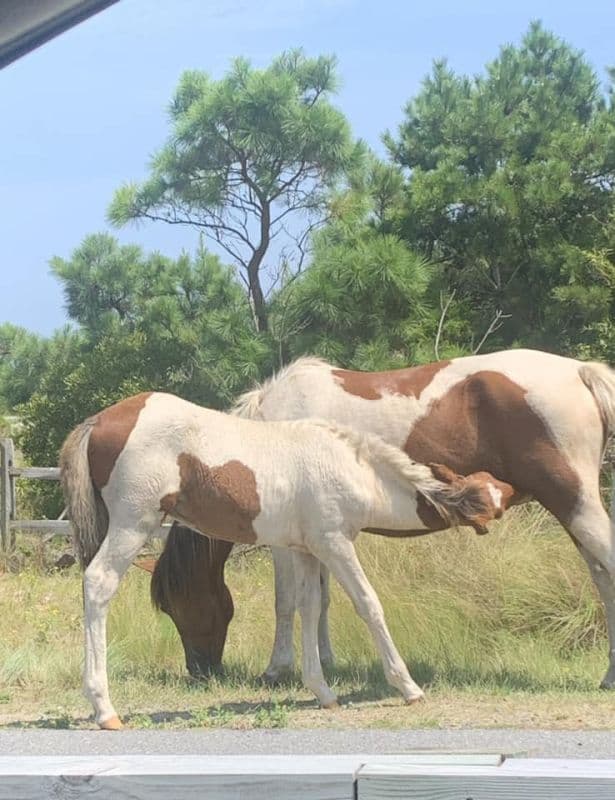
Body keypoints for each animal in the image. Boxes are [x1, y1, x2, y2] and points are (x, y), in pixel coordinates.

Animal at [59, 391, 512, 729]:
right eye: (489, 497)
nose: (511, 489)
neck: (352, 470)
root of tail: (98, 420)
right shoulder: (335, 544)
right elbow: (368, 605)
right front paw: (408, 687)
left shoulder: (306, 550)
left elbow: (308, 608)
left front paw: (322, 691)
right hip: (133, 522)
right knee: (98, 583)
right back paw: (104, 708)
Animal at [149, 348, 615, 688]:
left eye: (175, 603)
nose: (200, 670)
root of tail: (580, 372)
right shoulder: (318, 533)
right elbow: (320, 599)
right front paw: (326, 662)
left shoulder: (284, 539)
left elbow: (286, 601)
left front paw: (277, 669)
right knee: (600, 575)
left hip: (574, 502)